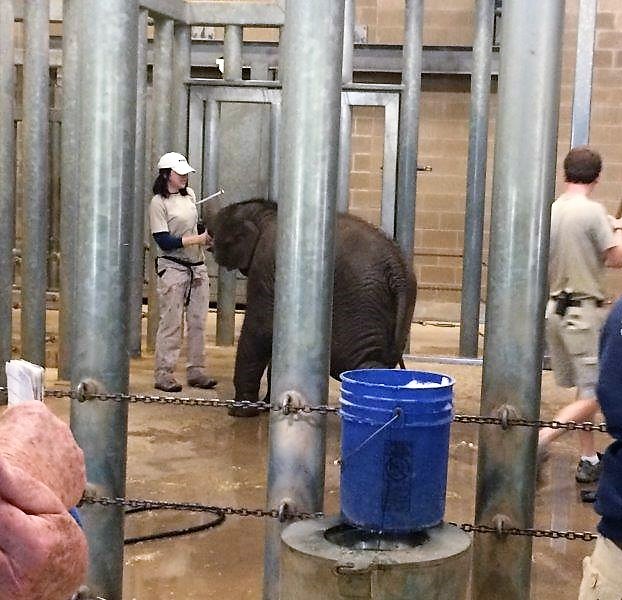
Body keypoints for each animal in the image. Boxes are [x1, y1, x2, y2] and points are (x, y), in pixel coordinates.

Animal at [211, 199, 420, 414]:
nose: (210, 247)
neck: (268, 212)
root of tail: (396, 267)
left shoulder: (264, 266)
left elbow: (259, 330)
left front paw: (240, 412)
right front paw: (271, 405)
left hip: (359, 304)